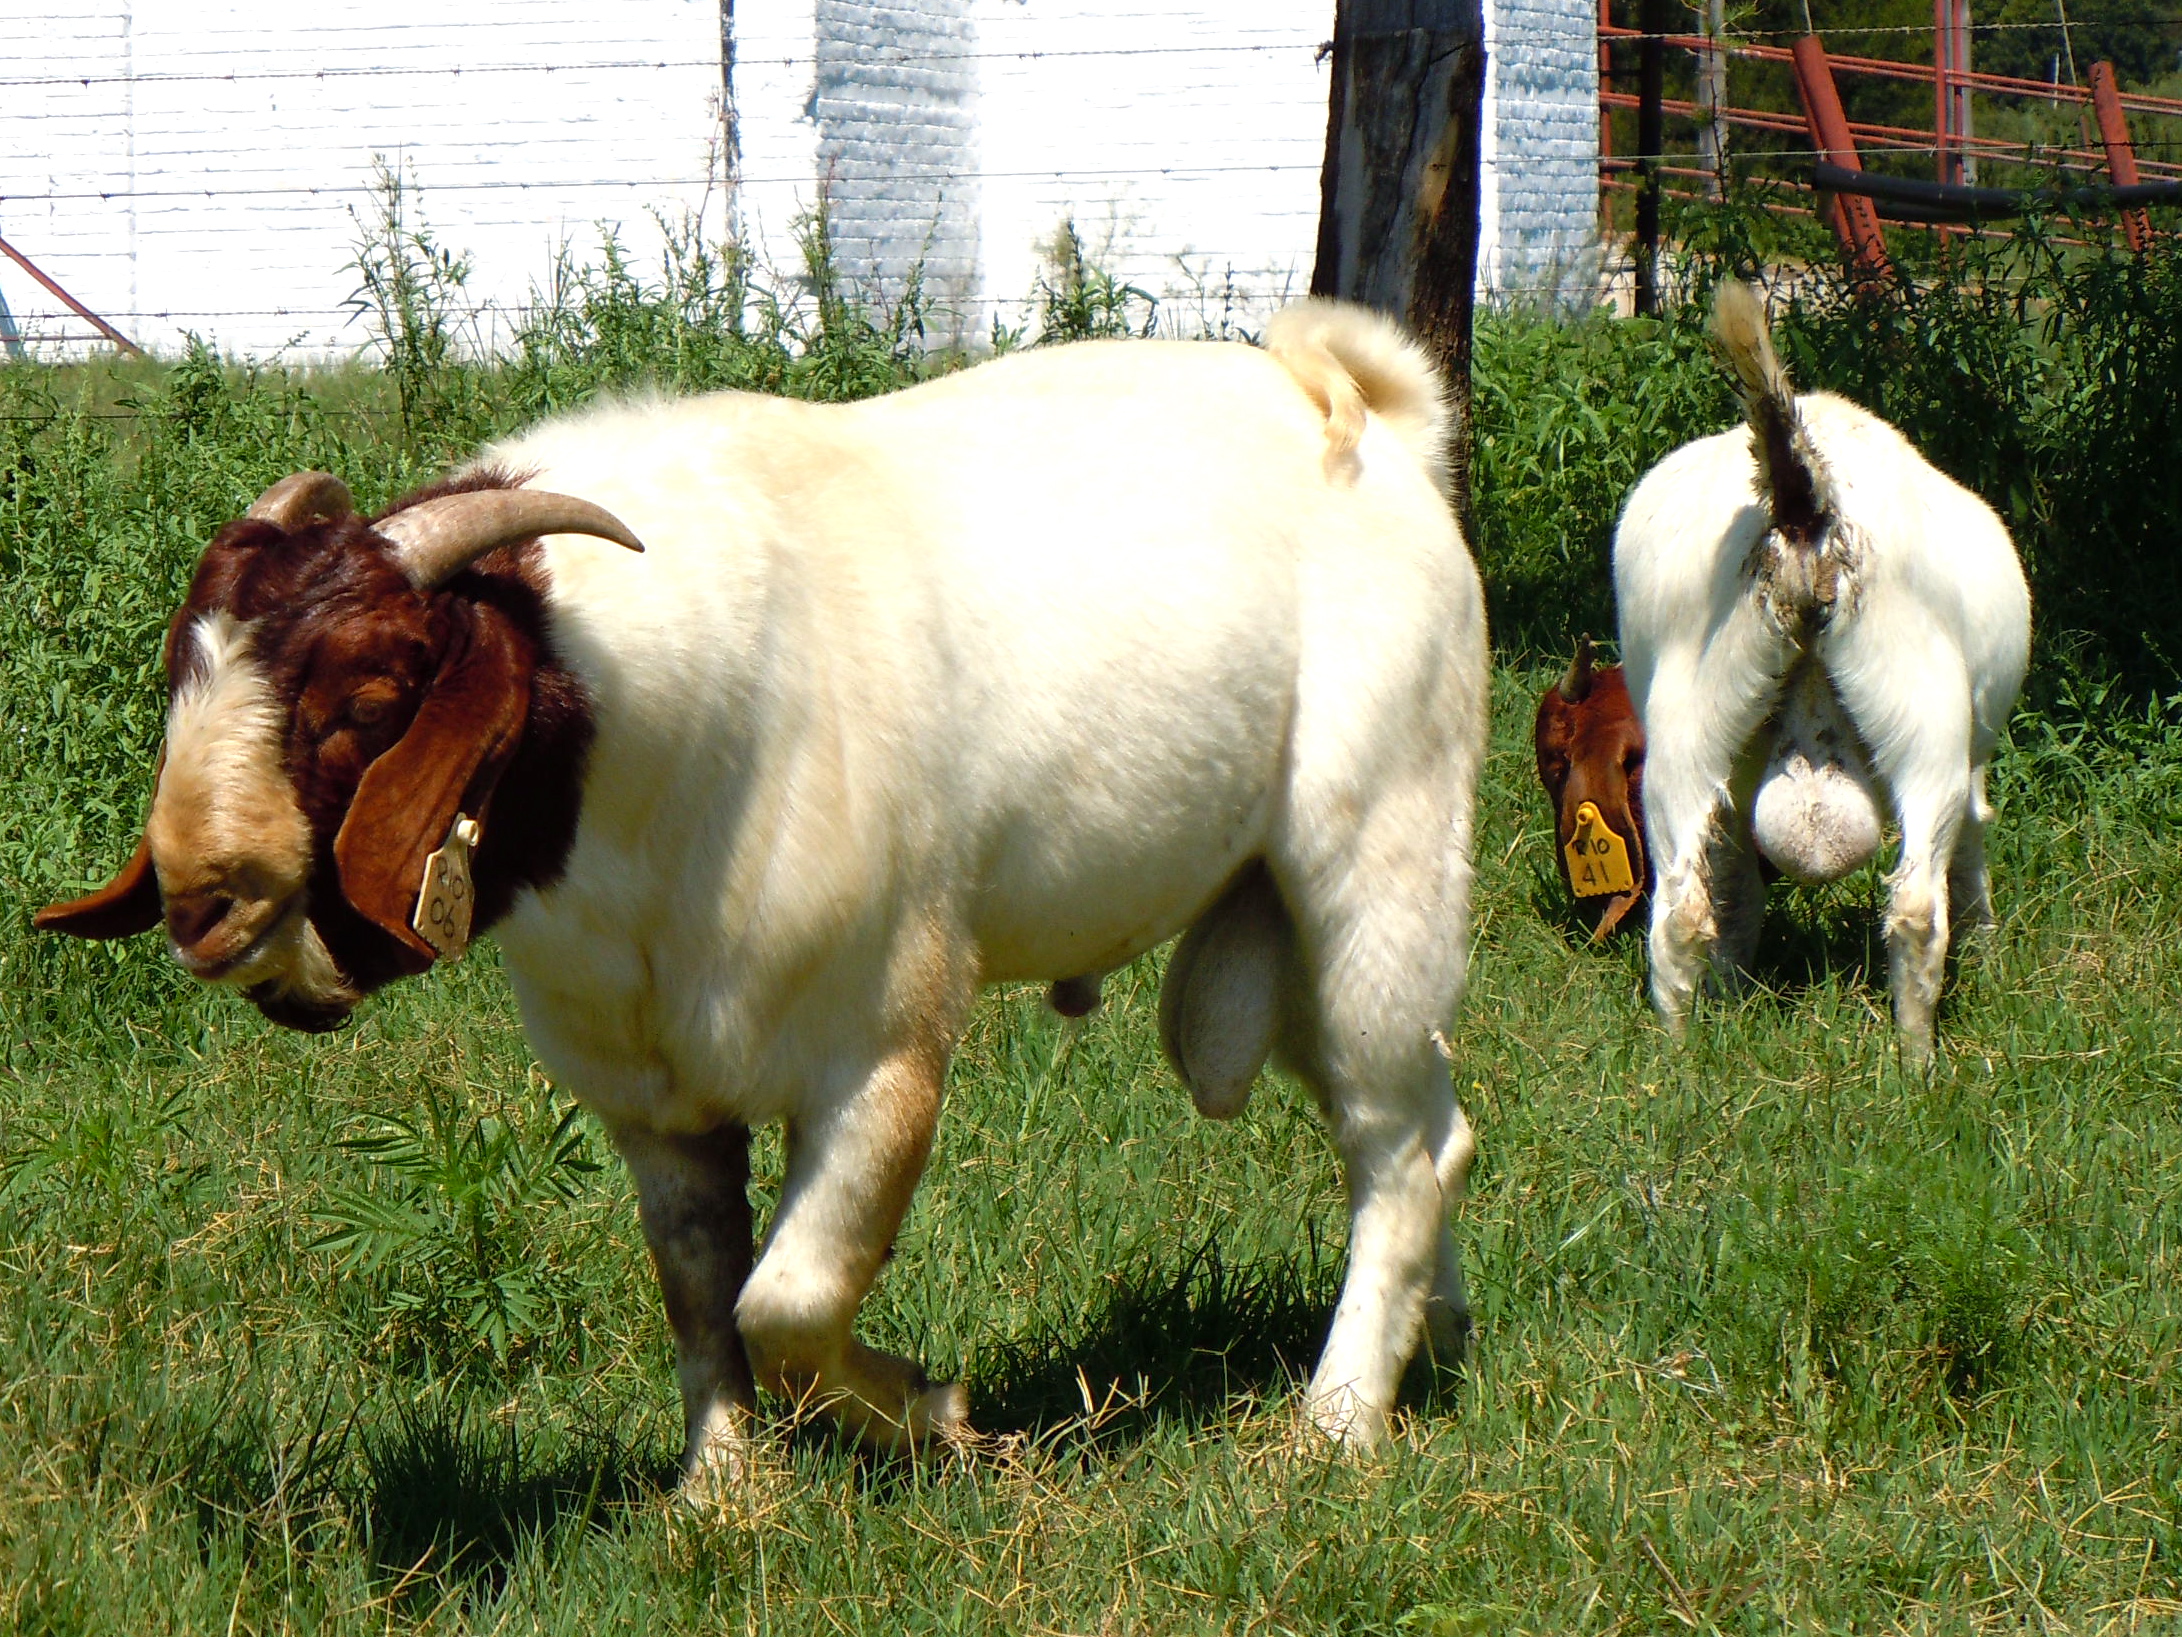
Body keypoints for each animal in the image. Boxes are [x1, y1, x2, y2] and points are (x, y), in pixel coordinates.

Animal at [38, 301, 1501, 1484]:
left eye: (373, 696)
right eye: (181, 671)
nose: (204, 904)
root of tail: (1374, 419)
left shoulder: (883, 1044)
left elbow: (786, 1297)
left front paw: (934, 1412)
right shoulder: (651, 1100)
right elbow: (700, 1291)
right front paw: (725, 1492)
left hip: (1376, 859)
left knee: (1388, 1146)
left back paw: (1335, 1422)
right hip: (1291, 931)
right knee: (1431, 1128)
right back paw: (1437, 1336)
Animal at [1614, 285, 2033, 1056]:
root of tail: (1803, 500)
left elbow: (1735, 879)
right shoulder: (1970, 763)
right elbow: (1972, 849)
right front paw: (1989, 960)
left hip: (1689, 718)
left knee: (1682, 906)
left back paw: (1679, 1052)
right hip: (1925, 714)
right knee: (1919, 905)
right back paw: (1918, 1062)